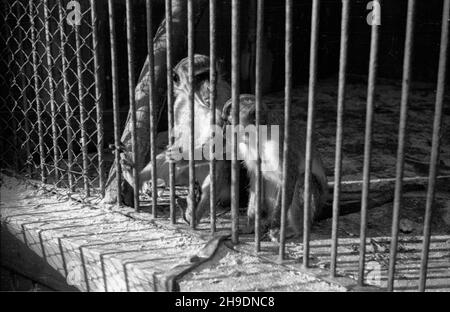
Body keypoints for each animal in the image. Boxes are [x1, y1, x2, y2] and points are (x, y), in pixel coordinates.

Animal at [221, 94, 328, 239]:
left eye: (230, 123)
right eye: (226, 121)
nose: (224, 132)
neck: (260, 136)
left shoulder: (280, 145)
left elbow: (289, 178)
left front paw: (275, 225)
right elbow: (257, 178)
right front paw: (251, 224)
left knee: (304, 178)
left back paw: (296, 229)